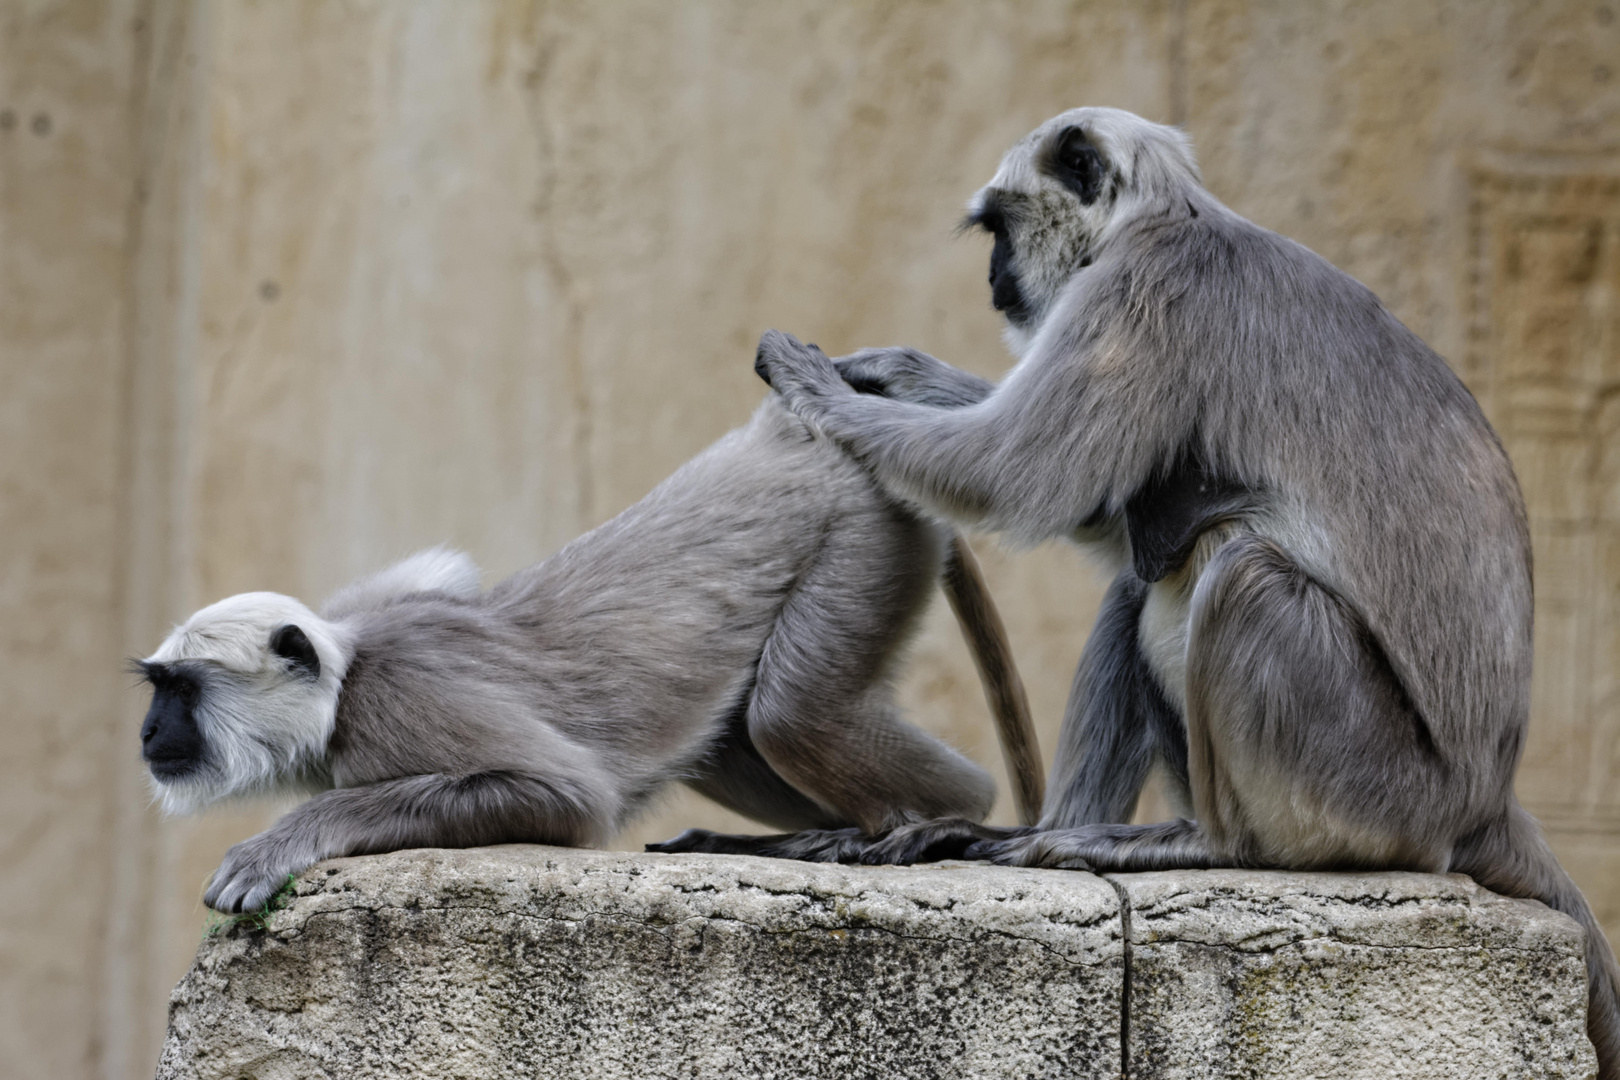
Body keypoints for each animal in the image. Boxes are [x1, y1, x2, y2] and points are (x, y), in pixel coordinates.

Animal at [129, 393, 1036, 919]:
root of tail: (805, 438)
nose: (146, 734)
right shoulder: (377, 608)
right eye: (156, 690)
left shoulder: (400, 702)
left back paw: (947, 820)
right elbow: (448, 574)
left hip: (857, 535)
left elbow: (567, 794)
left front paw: (282, 843)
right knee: (740, 737)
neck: (345, 686)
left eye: (179, 691)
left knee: (793, 717)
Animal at [660, 107, 1620, 1075]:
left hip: (1377, 785)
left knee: (1237, 569)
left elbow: (1017, 473)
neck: (1177, 217)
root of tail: (1484, 801)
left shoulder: (1144, 290)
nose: (995, 278)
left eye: (1000, 227)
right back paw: (1021, 835)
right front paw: (896, 370)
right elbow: (1102, 512)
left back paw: (1216, 847)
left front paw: (816, 384)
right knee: (1143, 579)